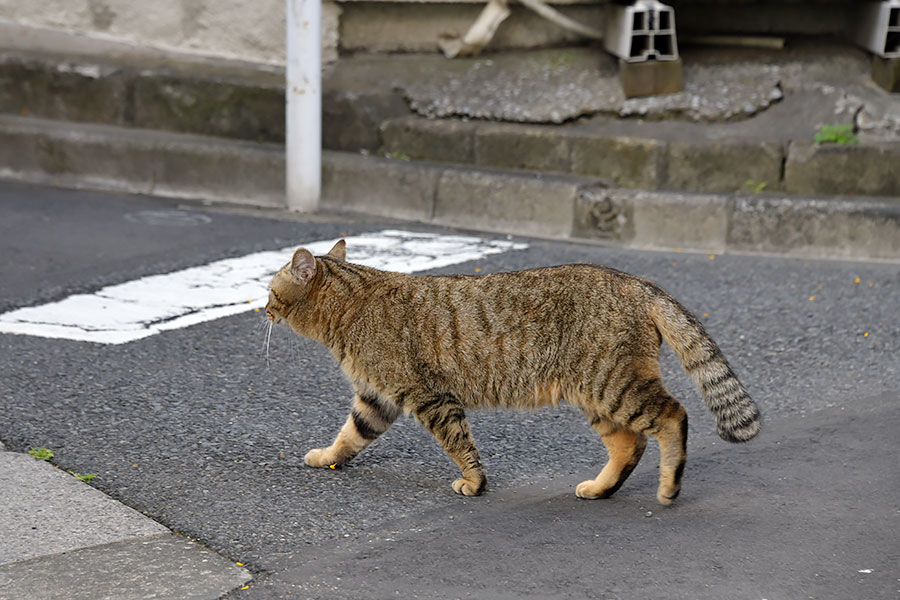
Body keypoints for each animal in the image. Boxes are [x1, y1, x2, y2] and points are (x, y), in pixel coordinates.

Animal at [266, 241, 760, 504]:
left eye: (270, 290)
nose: (263, 308)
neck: (350, 308)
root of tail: (639, 282)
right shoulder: (377, 398)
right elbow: (350, 435)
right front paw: (327, 457)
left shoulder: (428, 395)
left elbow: (459, 444)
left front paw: (474, 482)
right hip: (595, 394)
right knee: (629, 444)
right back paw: (600, 488)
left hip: (614, 385)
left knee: (673, 416)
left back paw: (670, 486)